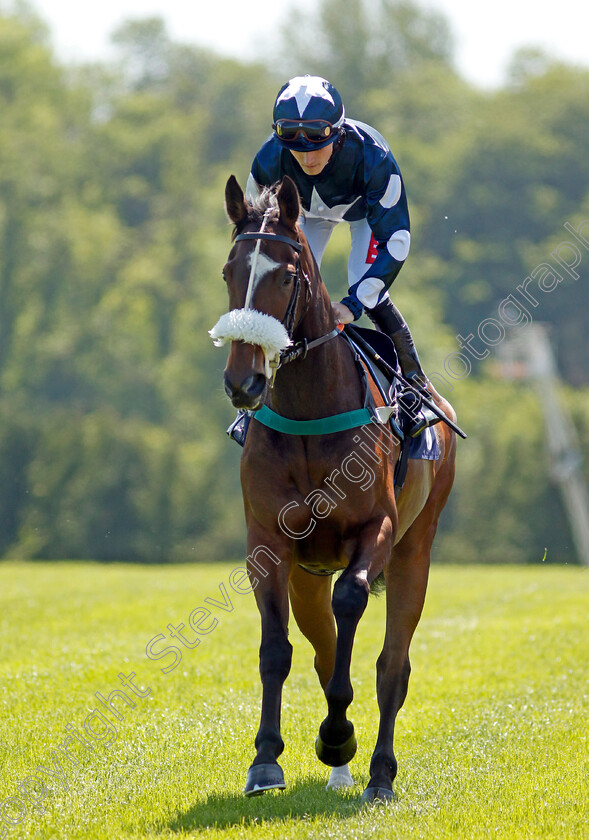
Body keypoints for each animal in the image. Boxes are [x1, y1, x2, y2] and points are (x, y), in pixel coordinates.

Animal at [209, 174, 458, 804]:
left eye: (286, 276)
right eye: (228, 271)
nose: (243, 382)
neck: (309, 410)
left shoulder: (378, 530)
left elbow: (354, 606)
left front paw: (338, 734)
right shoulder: (268, 542)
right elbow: (278, 650)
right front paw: (265, 761)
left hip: (416, 550)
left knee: (392, 665)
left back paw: (377, 773)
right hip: (307, 575)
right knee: (324, 649)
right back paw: (341, 770)